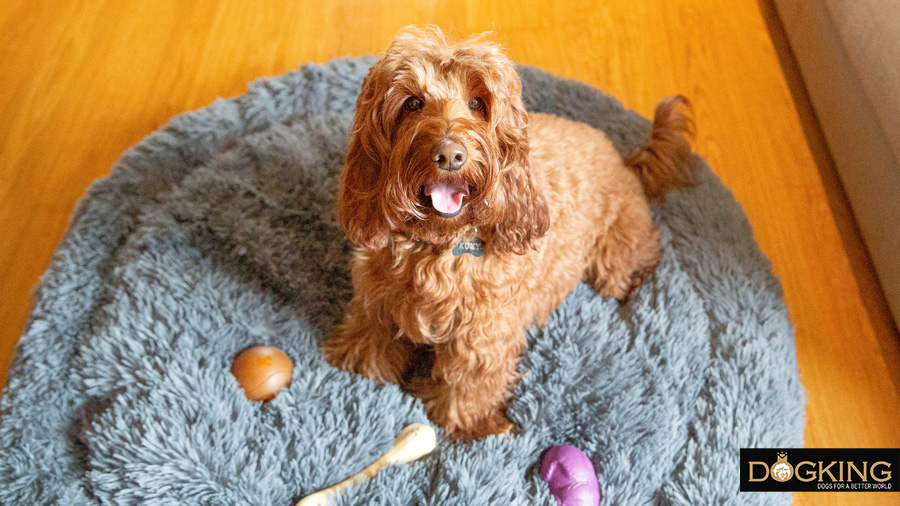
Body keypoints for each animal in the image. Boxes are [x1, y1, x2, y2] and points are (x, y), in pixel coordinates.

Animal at [326, 25, 696, 440]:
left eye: (477, 102)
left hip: (615, 255)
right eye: (412, 103)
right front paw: (358, 368)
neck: (440, 245)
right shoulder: (378, 302)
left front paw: (466, 424)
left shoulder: (483, 336)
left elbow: (470, 384)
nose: (450, 155)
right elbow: (370, 339)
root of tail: (625, 163)